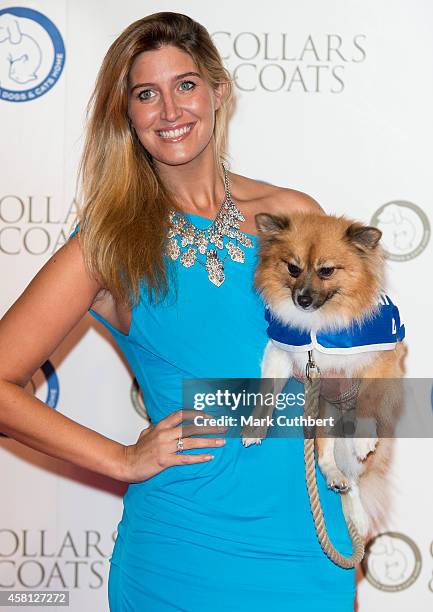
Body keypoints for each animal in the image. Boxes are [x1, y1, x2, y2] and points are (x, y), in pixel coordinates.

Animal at [241, 213, 406, 536]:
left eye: (326, 271)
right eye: (293, 268)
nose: (302, 299)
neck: (318, 322)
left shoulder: (379, 359)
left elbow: (368, 397)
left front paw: (364, 437)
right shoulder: (282, 352)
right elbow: (267, 393)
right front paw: (255, 426)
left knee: (356, 479)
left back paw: (358, 514)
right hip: (322, 415)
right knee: (326, 456)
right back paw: (335, 478)